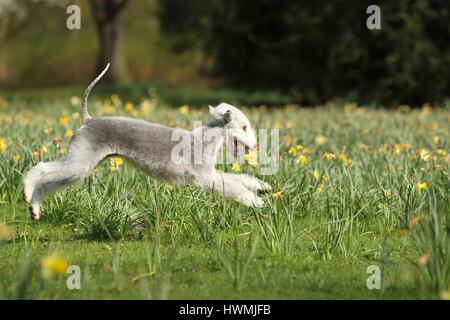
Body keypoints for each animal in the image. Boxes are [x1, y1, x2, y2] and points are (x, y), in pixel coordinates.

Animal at [23, 64, 270, 220]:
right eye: (244, 127)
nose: (255, 146)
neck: (206, 140)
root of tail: (88, 119)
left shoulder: (209, 174)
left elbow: (238, 178)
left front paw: (263, 187)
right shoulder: (204, 178)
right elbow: (233, 186)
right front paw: (256, 202)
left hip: (82, 163)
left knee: (47, 178)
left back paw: (34, 206)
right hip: (80, 161)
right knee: (43, 171)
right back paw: (29, 197)